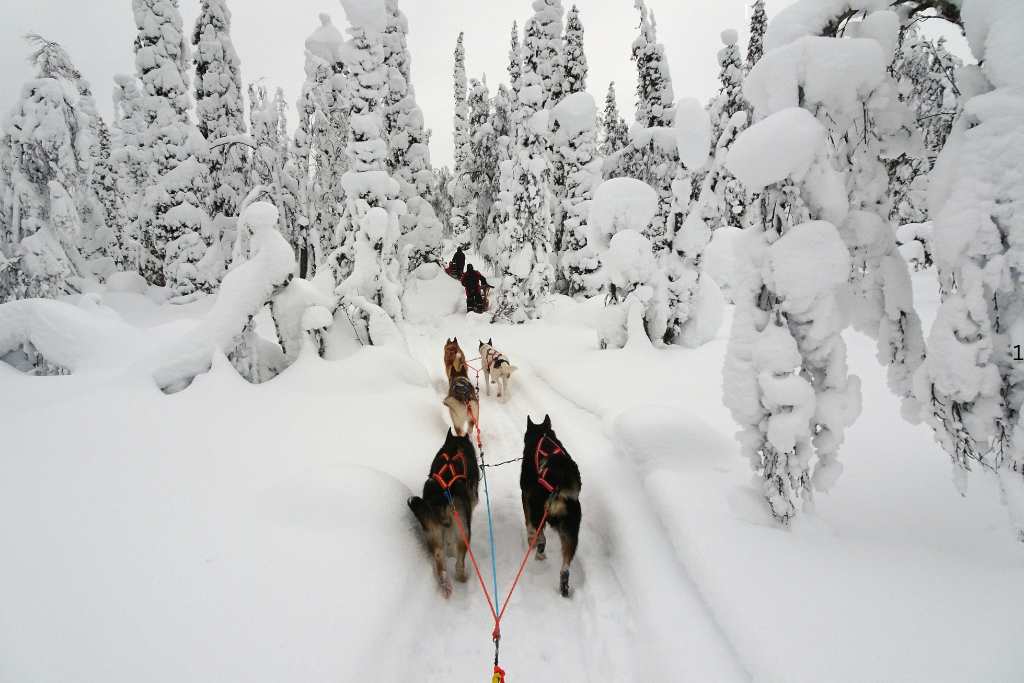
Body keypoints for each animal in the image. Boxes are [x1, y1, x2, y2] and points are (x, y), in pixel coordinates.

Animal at [407, 432, 479, 598]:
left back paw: (445, 585)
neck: (456, 446)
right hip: (464, 533)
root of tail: (441, 498)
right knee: (459, 564)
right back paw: (462, 578)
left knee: (440, 561)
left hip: (432, 532)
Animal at [520, 413, 585, 593]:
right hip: (571, 532)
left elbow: (527, 522)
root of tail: (559, 486)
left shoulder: (525, 497)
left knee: (541, 538)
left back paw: (538, 553)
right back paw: (564, 585)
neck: (542, 435)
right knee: (565, 567)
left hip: (538, 513)